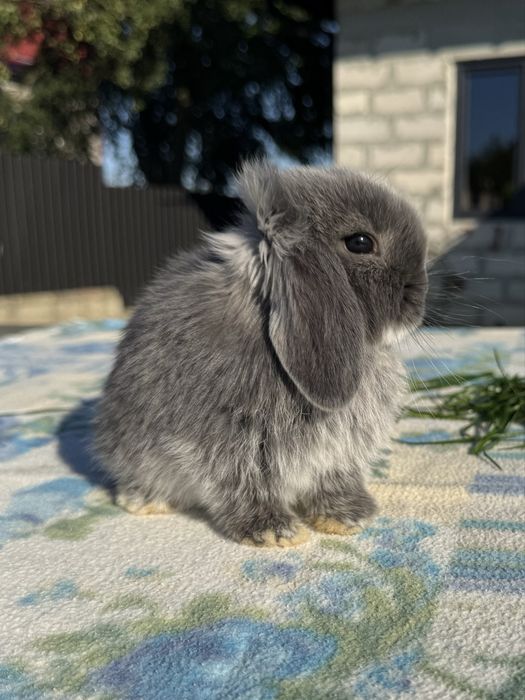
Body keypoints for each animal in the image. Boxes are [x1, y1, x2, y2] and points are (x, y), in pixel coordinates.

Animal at [94, 159, 428, 547]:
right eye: (360, 242)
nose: (418, 300)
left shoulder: (337, 455)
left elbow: (331, 481)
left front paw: (348, 516)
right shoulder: (225, 446)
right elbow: (242, 486)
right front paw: (272, 530)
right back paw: (144, 500)